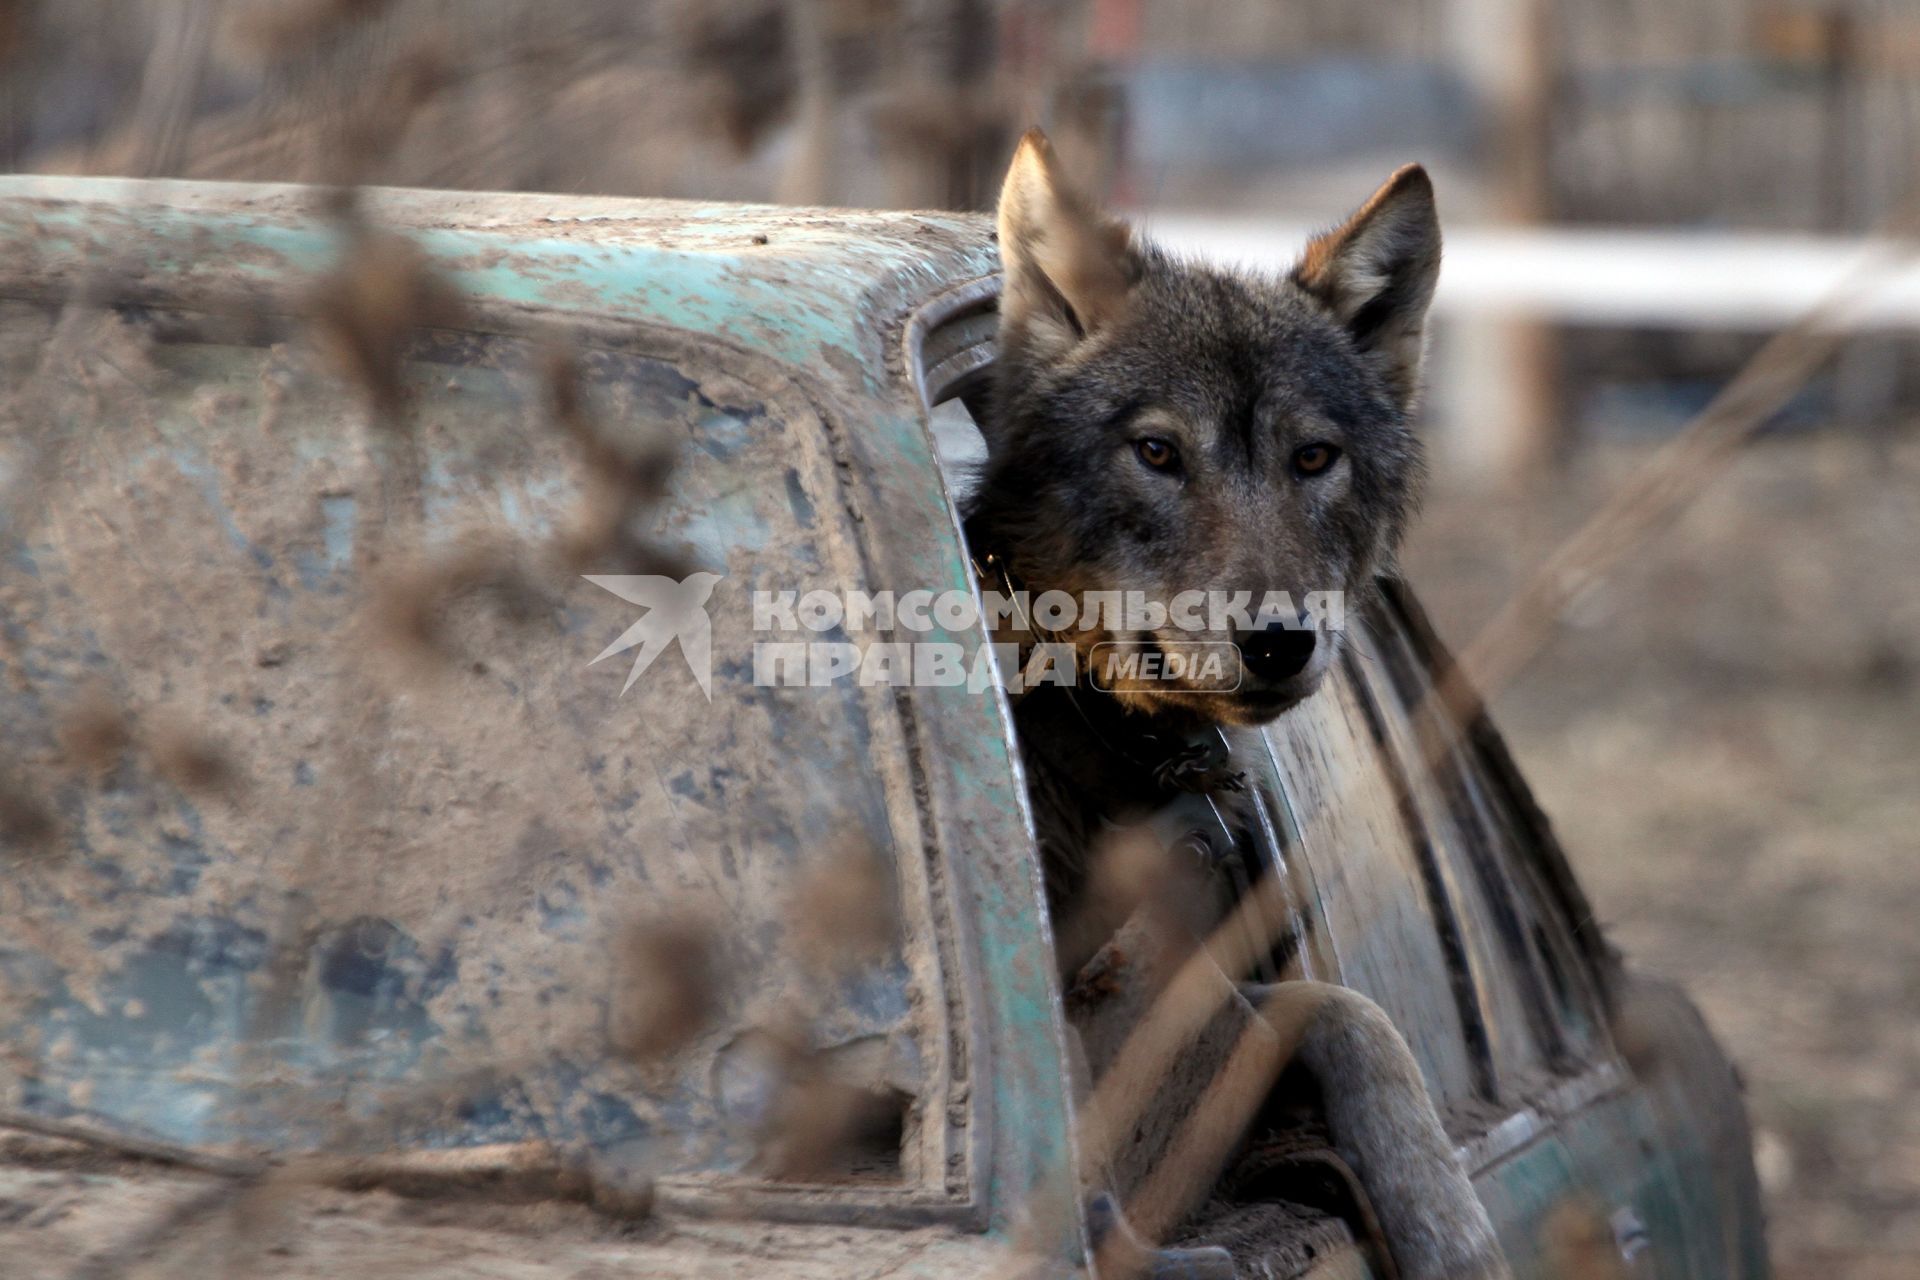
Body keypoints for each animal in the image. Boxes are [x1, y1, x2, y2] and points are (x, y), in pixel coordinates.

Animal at [967, 132, 1505, 1280]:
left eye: (1314, 457)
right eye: (1158, 452)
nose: (1277, 639)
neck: (1115, 742)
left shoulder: (1203, 1002)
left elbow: (1354, 1012)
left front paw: (1450, 1228)